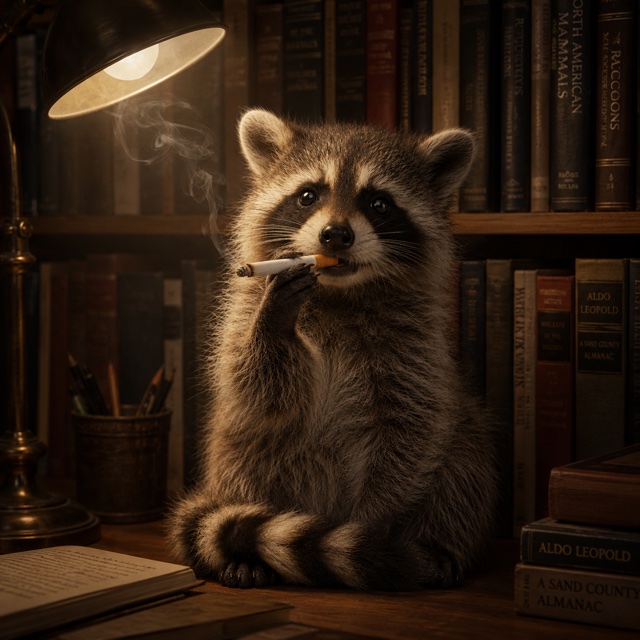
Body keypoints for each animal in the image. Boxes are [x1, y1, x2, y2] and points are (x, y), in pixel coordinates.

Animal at [168, 109, 497, 591]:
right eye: (308, 196)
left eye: (378, 204)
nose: (335, 236)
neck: (339, 292)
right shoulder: (239, 316)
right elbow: (256, 386)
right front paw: (275, 319)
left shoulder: (417, 346)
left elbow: (410, 432)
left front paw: (372, 524)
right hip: (238, 463)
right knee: (246, 442)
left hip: (462, 446)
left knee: (461, 460)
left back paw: (437, 546)